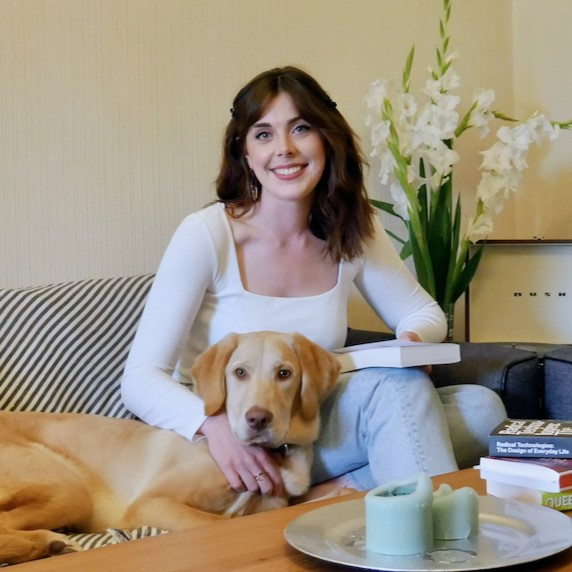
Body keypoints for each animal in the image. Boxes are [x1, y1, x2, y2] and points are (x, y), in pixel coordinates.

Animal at [0, 330, 340, 564]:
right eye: (239, 372)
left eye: (284, 374)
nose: (257, 419)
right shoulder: (150, 503)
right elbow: (214, 520)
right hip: (69, 488)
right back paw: (48, 544)